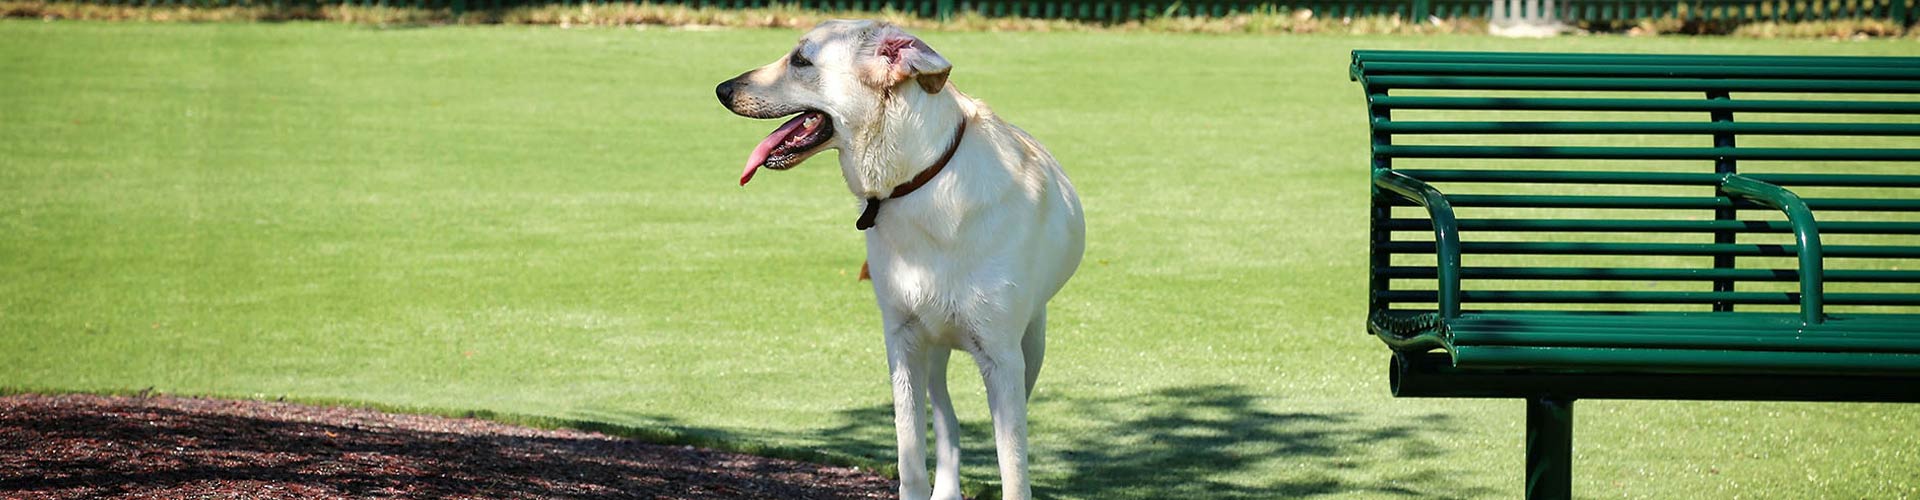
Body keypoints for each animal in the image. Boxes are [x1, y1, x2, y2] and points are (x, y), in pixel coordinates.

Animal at [718, 19, 1082, 500]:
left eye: (800, 60)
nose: (721, 89)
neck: (922, 181)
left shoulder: (1002, 359)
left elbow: (1013, 468)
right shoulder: (903, 343)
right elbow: (911, 453)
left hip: (1030, 345)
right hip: (934, 349)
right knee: (947, 421)